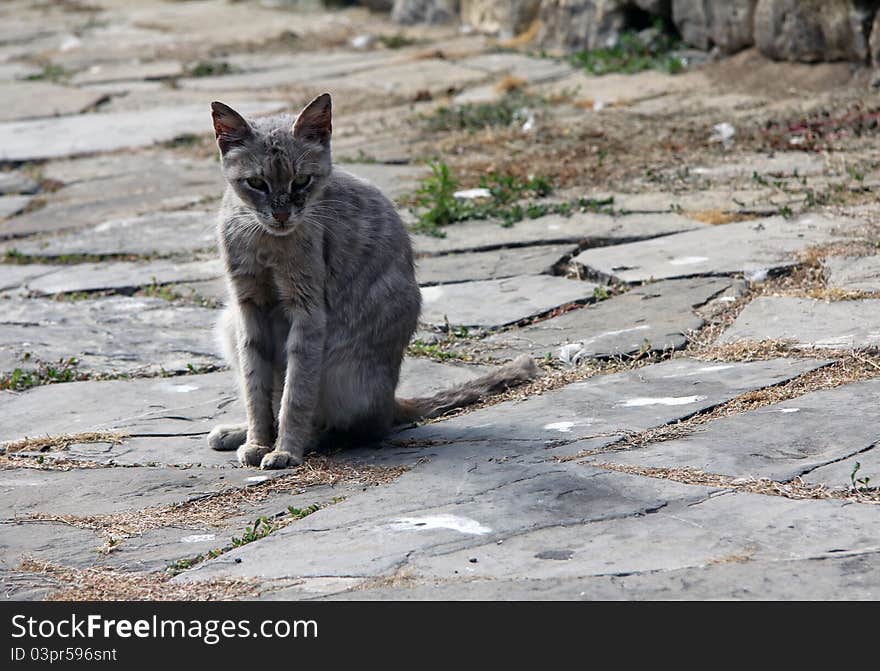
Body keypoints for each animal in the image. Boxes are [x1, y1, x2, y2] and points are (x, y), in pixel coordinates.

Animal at [208, 94, 536, 470]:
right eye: (257, 184)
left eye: (302, 181)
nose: (281, 215)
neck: (266, 242)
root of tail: (391, 399)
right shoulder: (248, 310)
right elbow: (256, 392)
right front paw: (257, 442)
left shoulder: (307, 315)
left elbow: (295, 397)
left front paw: (285, 450)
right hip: (229, 323)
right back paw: (236, 433)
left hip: (338, 362)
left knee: (350, 427)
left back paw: (307, 440)